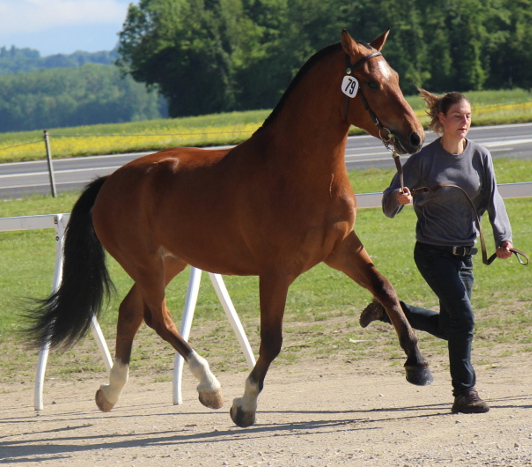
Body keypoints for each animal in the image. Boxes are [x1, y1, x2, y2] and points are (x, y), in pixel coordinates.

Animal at [26, 31, 432, 430]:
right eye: (371, 83)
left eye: (396, 78)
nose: (415, 137)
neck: (299, 172)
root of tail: (109, 182)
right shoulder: (276, 272)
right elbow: (272, 340)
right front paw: (246, 404)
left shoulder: (342, 250)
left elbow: (386, 291)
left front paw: (418, 365)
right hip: (146, 265)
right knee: (157, 317)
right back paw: (209, 386)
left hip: (168, 262)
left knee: (130, 313)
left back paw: (110, 393)